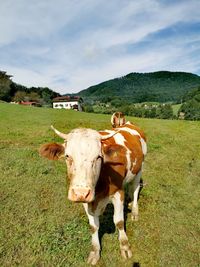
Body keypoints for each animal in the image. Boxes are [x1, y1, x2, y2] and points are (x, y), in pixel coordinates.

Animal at [39, 121, 148, 266]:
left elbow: (119, 222)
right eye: (67, 156)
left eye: (98, 157)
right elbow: (93, 227)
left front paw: (124, 246)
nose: (80, 192)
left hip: (139, 168)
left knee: (135, 189)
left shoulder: (118, 193)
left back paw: (135, 210)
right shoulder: (87, 199)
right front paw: (95, 251)